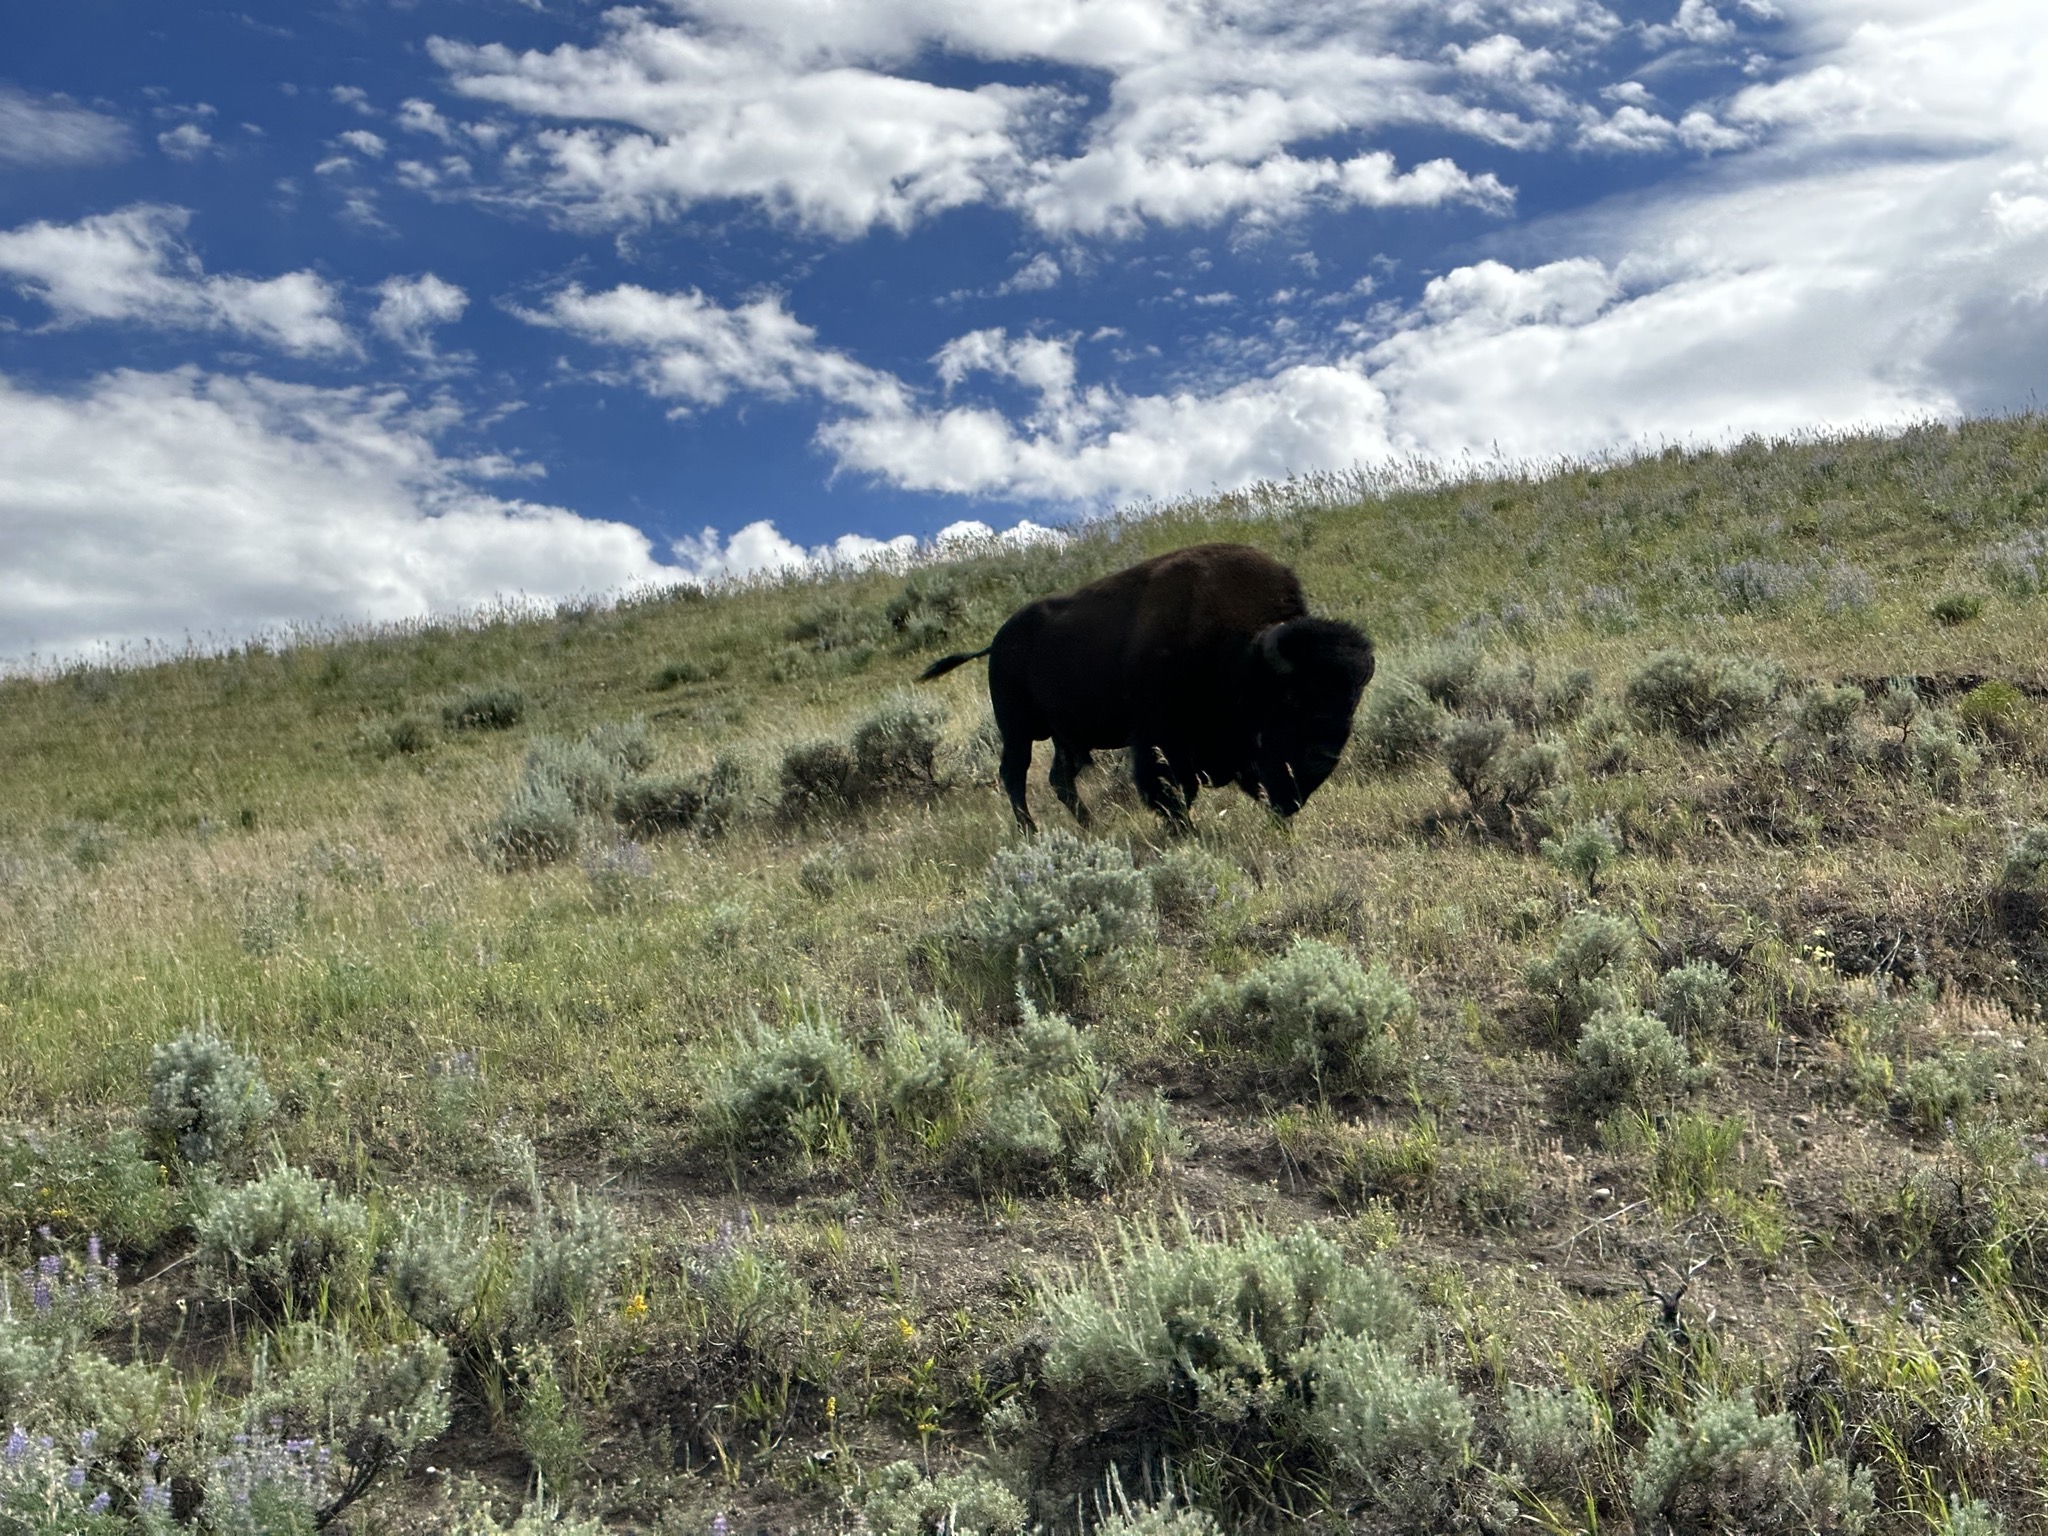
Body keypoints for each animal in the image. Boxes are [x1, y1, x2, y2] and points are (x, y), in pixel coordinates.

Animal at [918, 542, 1374, 829]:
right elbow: (1173, 790)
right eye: (1293, 697)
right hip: (1017, 731)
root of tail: (997, 641)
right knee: (1014, 776)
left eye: (1353, 699)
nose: (1325, 756)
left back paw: (1091, 828)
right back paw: (1031, 833)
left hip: (1067, 739)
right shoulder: (1159, 738)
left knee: (1059, 780)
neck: (1242, 650)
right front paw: (1182, 831)